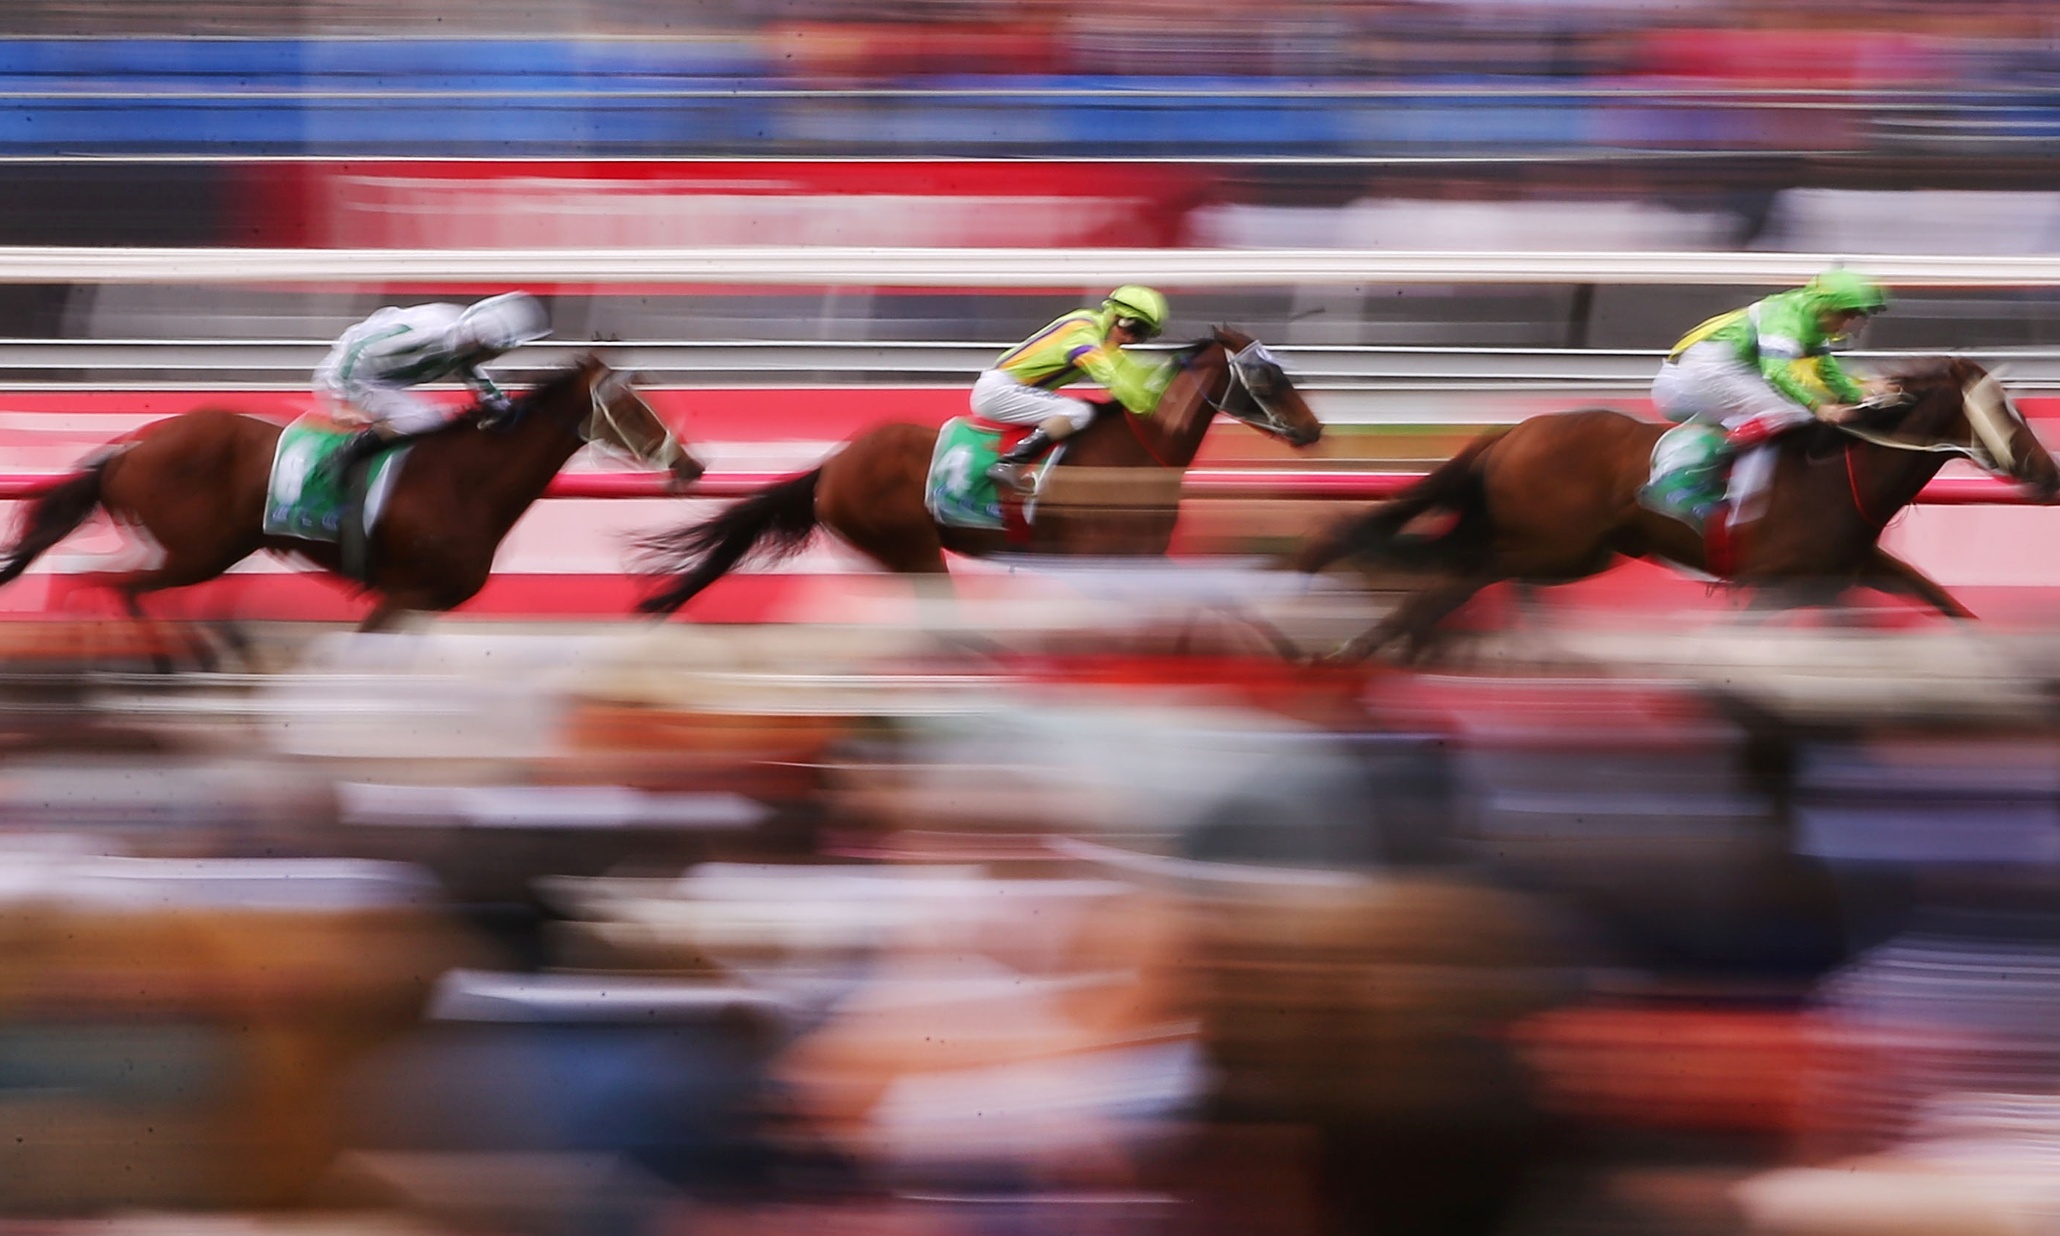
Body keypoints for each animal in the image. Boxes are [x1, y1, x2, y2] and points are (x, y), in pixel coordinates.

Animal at [0, 352, 704, 634]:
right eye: (631, 406)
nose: (691, 466)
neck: (465, 482)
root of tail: (129, 447)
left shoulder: (425, 606)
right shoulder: (402, 595)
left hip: (202, 550)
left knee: (108, 584)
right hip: (196, 551)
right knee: (114, 586)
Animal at [634, 323, 1326, 613]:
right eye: (1266, 374)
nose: (1313, 429)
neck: (1137, 454)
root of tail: (834, 465)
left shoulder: (1147, 561)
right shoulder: (1105, 565)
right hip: (911, 545)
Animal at [1301, 356, 2060, 663]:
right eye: (2005, 410)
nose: (2048, 474)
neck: (1839, 474)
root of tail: (1512, 432)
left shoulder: (1850, 572)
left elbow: (1942, 601)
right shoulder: (1775, 588)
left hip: (1573, 552)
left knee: (1472, 576)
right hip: (1548, 544)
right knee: (1457, 579)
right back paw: (1361, 647)